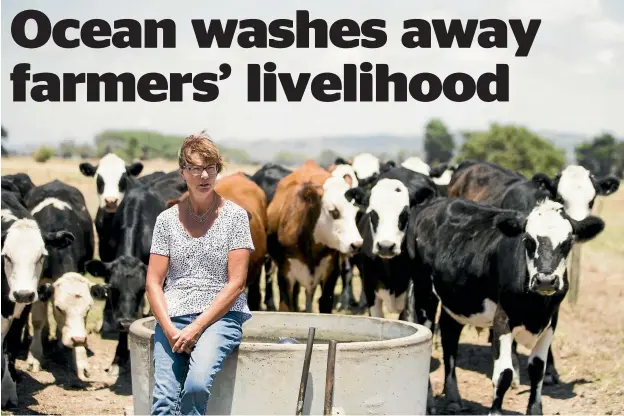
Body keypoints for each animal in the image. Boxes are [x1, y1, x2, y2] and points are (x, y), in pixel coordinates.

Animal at [404, 197, 604, 414]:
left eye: (568, 243)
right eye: (528, 240)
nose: (545, 280)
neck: (536, 308)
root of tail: (432, 203)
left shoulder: (551, 320)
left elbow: (537, 370)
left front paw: (535, 410)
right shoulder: (502, 318)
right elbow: (504, 373)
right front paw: (495, 411)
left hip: (458, 299)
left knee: (449, 337)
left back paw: (453, 399)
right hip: (424, 292)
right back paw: (429, 403)